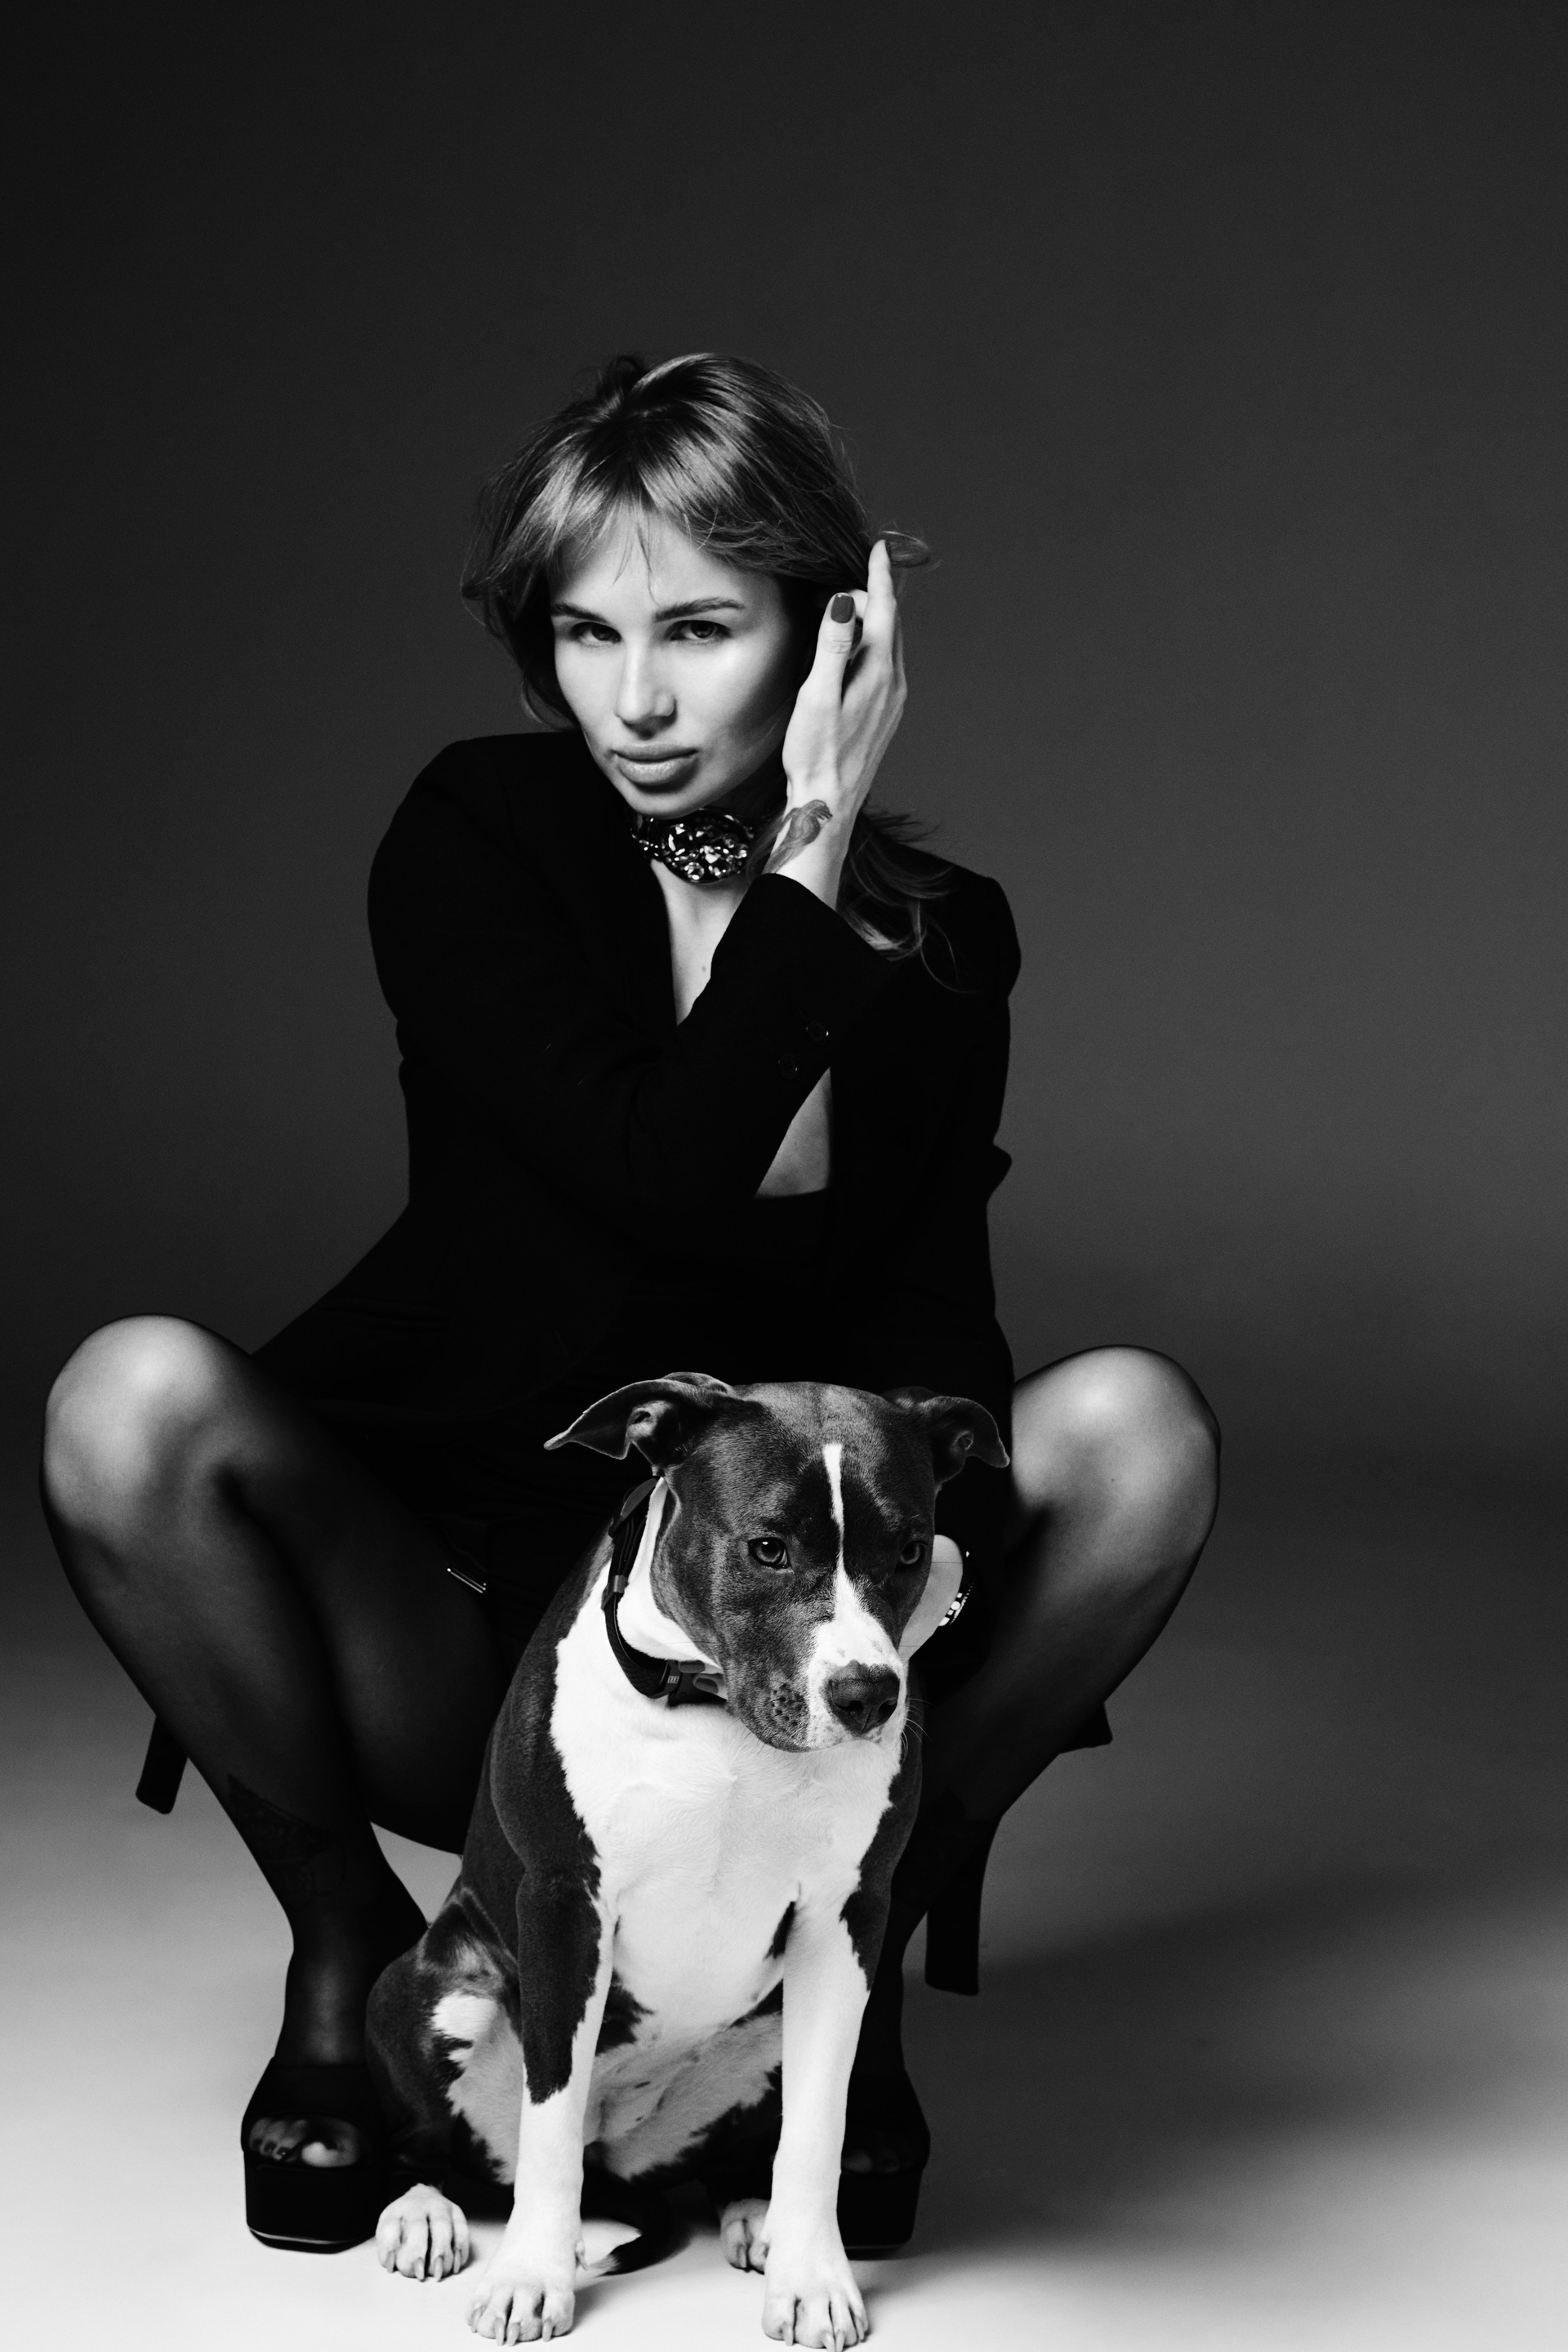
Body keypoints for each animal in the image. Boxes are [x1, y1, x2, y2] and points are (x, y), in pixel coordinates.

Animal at [367, 1371, 1005, 2346]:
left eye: (907, 1552)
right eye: (768, 1548)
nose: (866, 1696)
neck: (714, 1708)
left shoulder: (847, 1917)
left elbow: (816, 2130)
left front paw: (812, 2279)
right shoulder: (566, 1904)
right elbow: (548, 2126)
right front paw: (532, 2277)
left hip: (779, 2021)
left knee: (748, 2149)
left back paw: (757, 2219)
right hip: (436, 1988)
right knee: (445, 2145)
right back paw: (425, 2212)